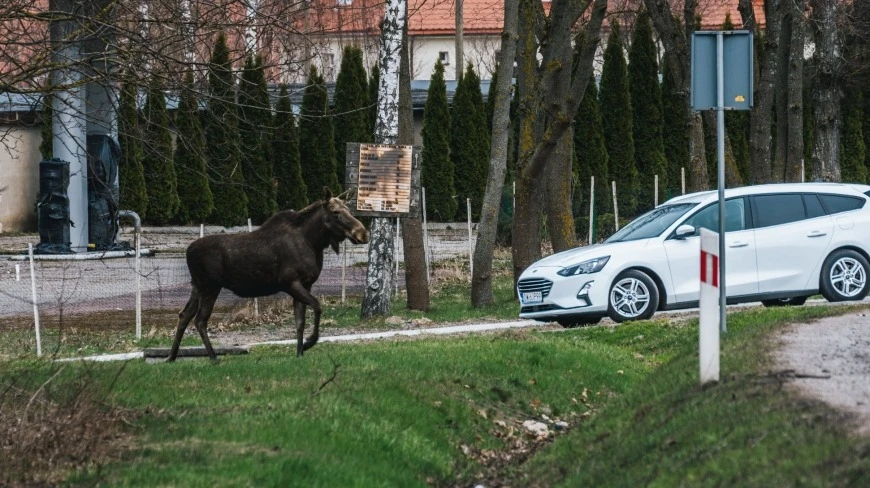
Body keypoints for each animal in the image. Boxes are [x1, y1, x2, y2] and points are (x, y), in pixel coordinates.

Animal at [169, 187, 370, 362]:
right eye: (335, 212)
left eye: (348, 210)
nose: (363, 233)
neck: (314, 243)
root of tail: (188, 251)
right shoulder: (290, 282)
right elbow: (317, 306)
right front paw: (309, 343)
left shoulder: (305, 284)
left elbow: (299, 322)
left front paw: (299, 353)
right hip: (210, 286)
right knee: (200, 320)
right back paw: (213, 358)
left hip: (198, 286)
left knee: (184, 315)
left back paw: (171, 357)